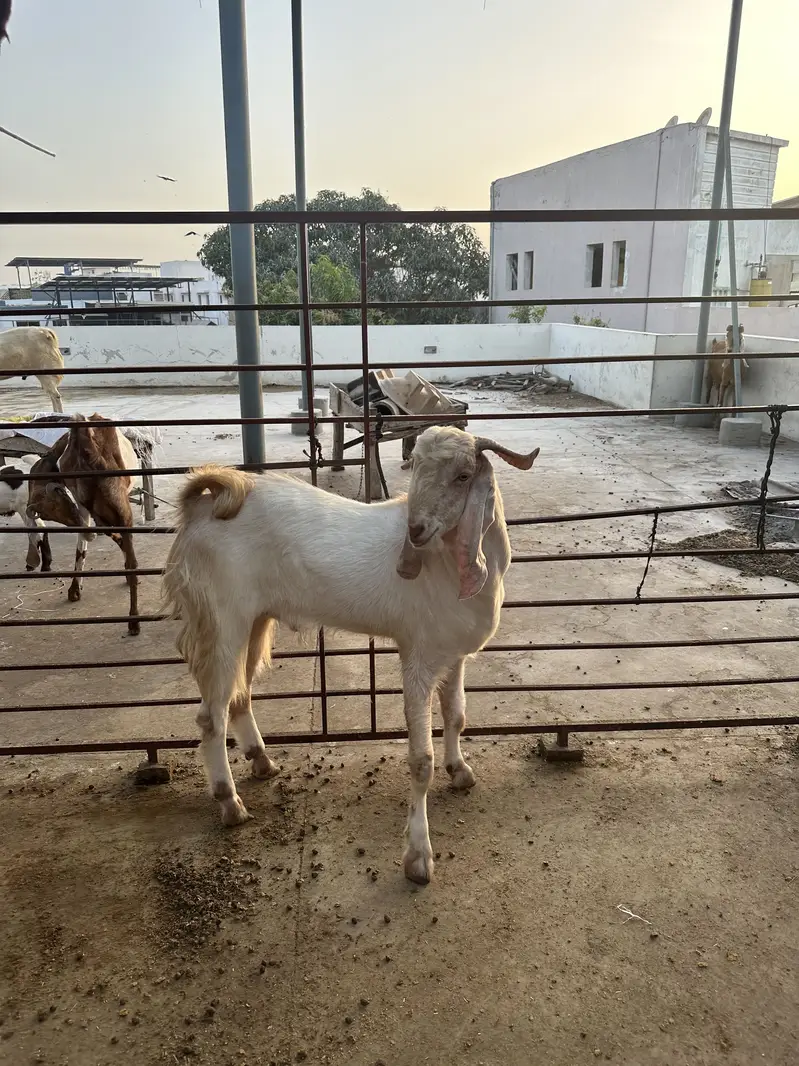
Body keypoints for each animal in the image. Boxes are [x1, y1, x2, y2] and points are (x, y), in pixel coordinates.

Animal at [162, 426, 539, 883]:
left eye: (464, 475)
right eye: (414, 466)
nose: (415, 530)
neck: (446, 566)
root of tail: (207, 501)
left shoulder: (453, 654)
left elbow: (457, 716)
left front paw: (460, 771)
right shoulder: (418, 655)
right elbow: (420, 760)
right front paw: (418, 856)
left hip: (255, 620)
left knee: (239, 694)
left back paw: (261, 761)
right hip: (221, 618)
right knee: (211, 714)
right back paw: (229, 802)